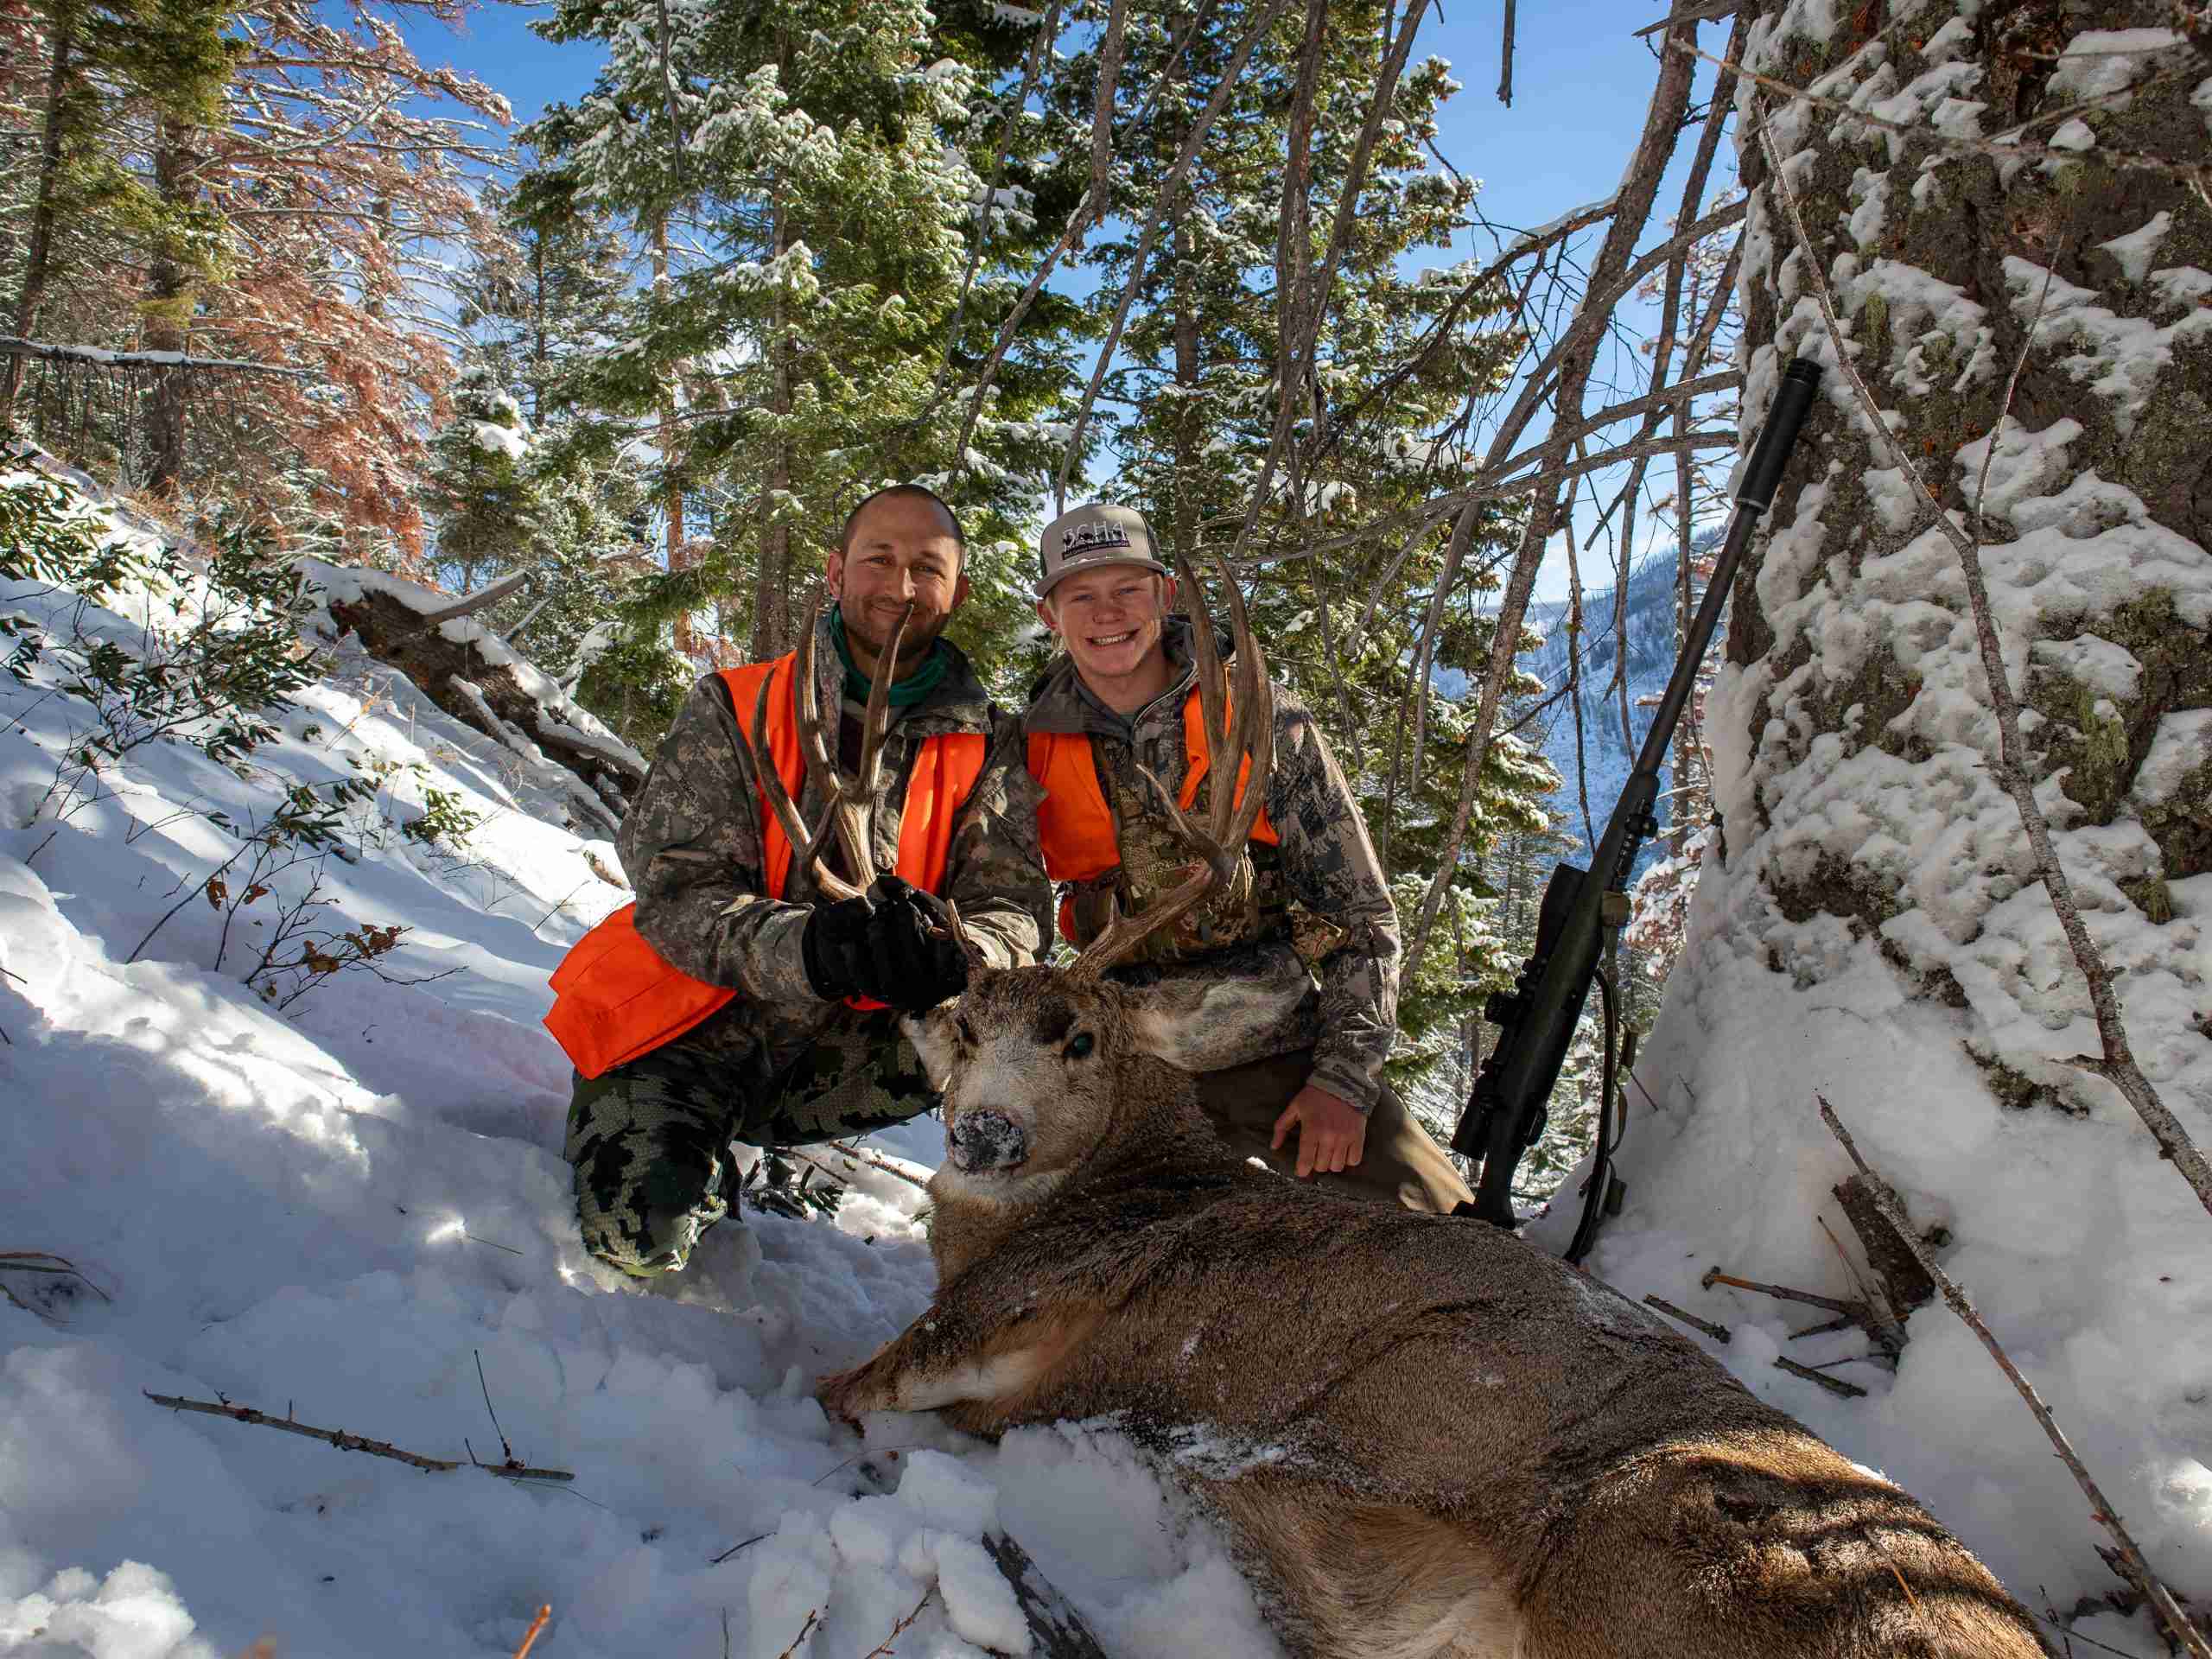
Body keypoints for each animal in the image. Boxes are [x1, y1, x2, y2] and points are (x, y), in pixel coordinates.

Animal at [808, 560, 2051, 1659]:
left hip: (1640, 1561)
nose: (983, 1134)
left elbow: (841, 1390)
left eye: (1079, 1038)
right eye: (963, 1031)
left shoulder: (1008, 1312)